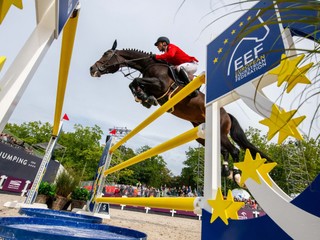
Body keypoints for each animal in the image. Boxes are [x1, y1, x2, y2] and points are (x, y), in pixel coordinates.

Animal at [90, 40, 272, 185]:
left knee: (234, 150)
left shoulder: (160, 84)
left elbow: (135, 80)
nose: (92, 69)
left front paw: (144, 97)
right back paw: (226, 172)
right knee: (225, 151)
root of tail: (225, 113)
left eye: (107, 54)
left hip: (220, 131)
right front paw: (143, 98)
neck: (149, 65)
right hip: (202, 136)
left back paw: (236, 176)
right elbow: (134, 84)